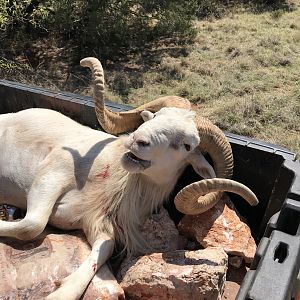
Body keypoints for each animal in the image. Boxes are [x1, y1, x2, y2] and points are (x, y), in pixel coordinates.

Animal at [0, 57, 258, 298]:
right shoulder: (54, 172)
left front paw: (63, 292)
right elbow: (33, 225)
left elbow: (100, 250)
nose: (137, 139)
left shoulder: (97, 225)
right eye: (154, 116)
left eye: (187, 145)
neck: (109, 182)